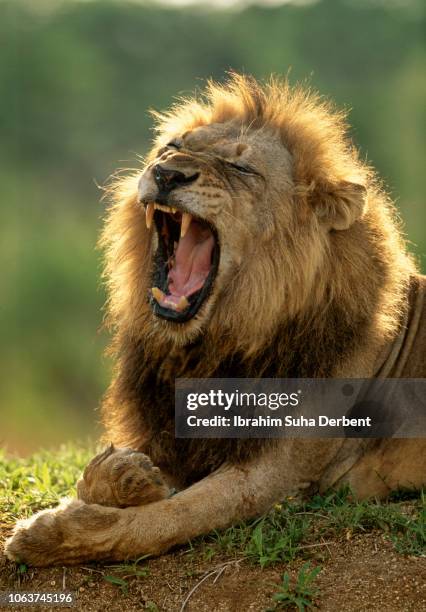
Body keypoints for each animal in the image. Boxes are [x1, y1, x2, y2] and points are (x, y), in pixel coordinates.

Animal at [4, 74, 426, 568]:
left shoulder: (276, 477)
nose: (167, 174)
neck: (214, 345)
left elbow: (165, 520)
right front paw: (125, 477)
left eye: (241, 168)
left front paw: (51, 534)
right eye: (170, 147)